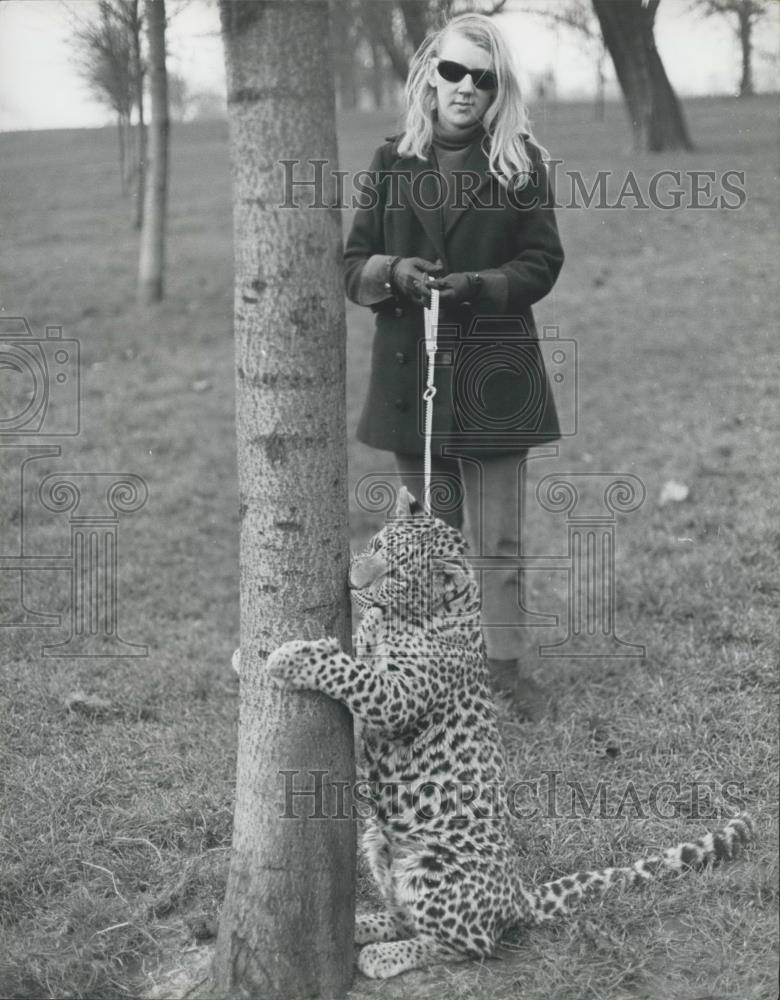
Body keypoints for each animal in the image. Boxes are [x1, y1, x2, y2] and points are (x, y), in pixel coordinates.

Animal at [261, 485, 753, 980]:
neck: (422, 612)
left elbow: (353, 674)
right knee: (408, 915)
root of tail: (517, 895)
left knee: (470, 943)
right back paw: (365, 924)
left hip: (434, 870)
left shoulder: (400, 697)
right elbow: (359, 648)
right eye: (378, 545)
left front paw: (294, 658)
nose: (353, 583)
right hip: (378, 843)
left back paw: (384, 954)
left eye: (396, 574)